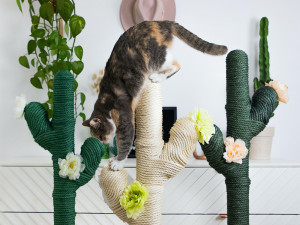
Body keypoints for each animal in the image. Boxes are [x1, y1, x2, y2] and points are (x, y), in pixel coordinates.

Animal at [82, 20, 227, 171]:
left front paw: (118, 162)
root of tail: (160, 22)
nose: (104, 142)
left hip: (156, 57)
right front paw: (115, 159)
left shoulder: (125, 119)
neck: (105, 102)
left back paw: (156, 77)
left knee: (177, 65)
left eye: (100, 135)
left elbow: (124, 143)